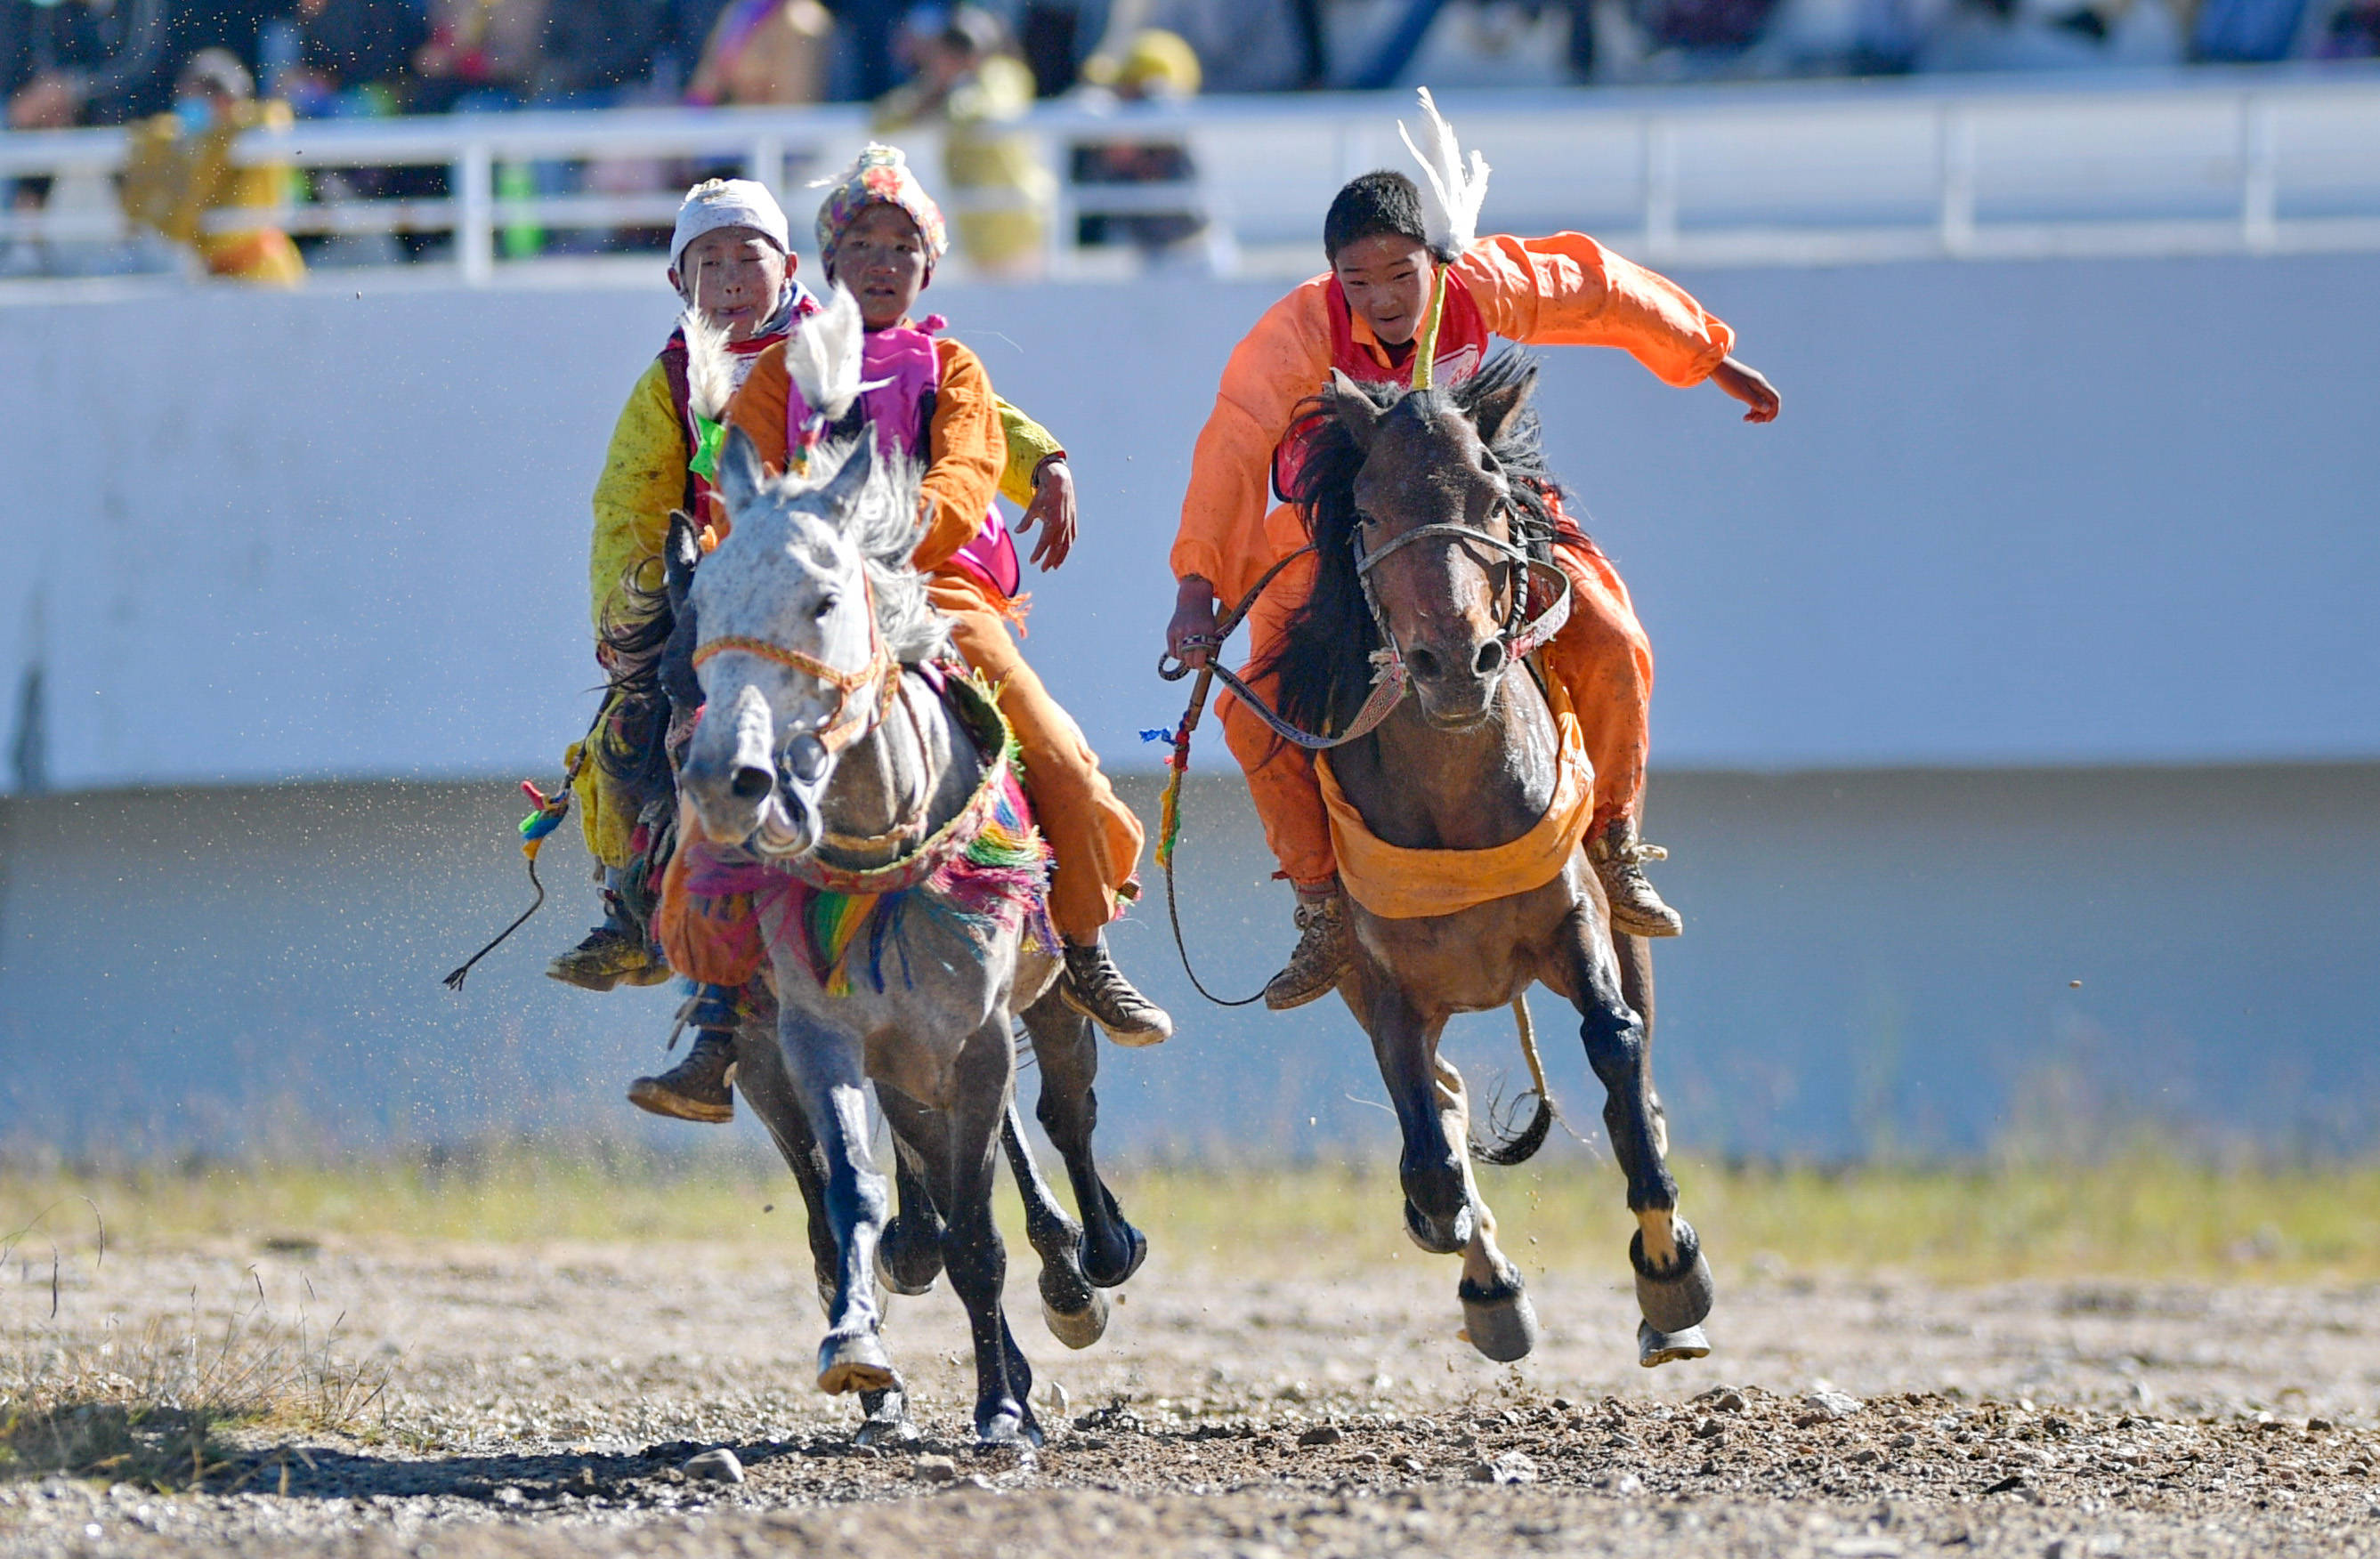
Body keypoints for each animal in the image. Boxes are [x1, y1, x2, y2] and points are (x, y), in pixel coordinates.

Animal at [1275, 350, 1722, 1370]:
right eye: (1368, 510)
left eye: (1488, 499)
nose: (1455, 661)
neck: (1454, 804)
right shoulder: (1384, 983)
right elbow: (1429, 1140)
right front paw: (1453, 1236)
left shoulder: (1573, 915)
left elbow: (1616, 1047)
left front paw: (1668, 1266)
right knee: (1438, 1106)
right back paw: (1486, 1282)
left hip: (1623, 922)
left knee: (1633, 1058)